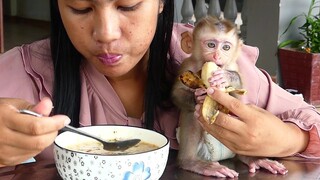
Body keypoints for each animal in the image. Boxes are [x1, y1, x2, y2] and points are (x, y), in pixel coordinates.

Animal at [171, 16, 288, 178]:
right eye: (211, 45)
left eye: (226, 47)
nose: (216, 56)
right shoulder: (187, 65)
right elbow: (177, 93)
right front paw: (198, 97)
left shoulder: (233, 65)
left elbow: (237, 95)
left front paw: (227, 77)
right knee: (191, 114)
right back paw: (191, 162)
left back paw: (252, 158)